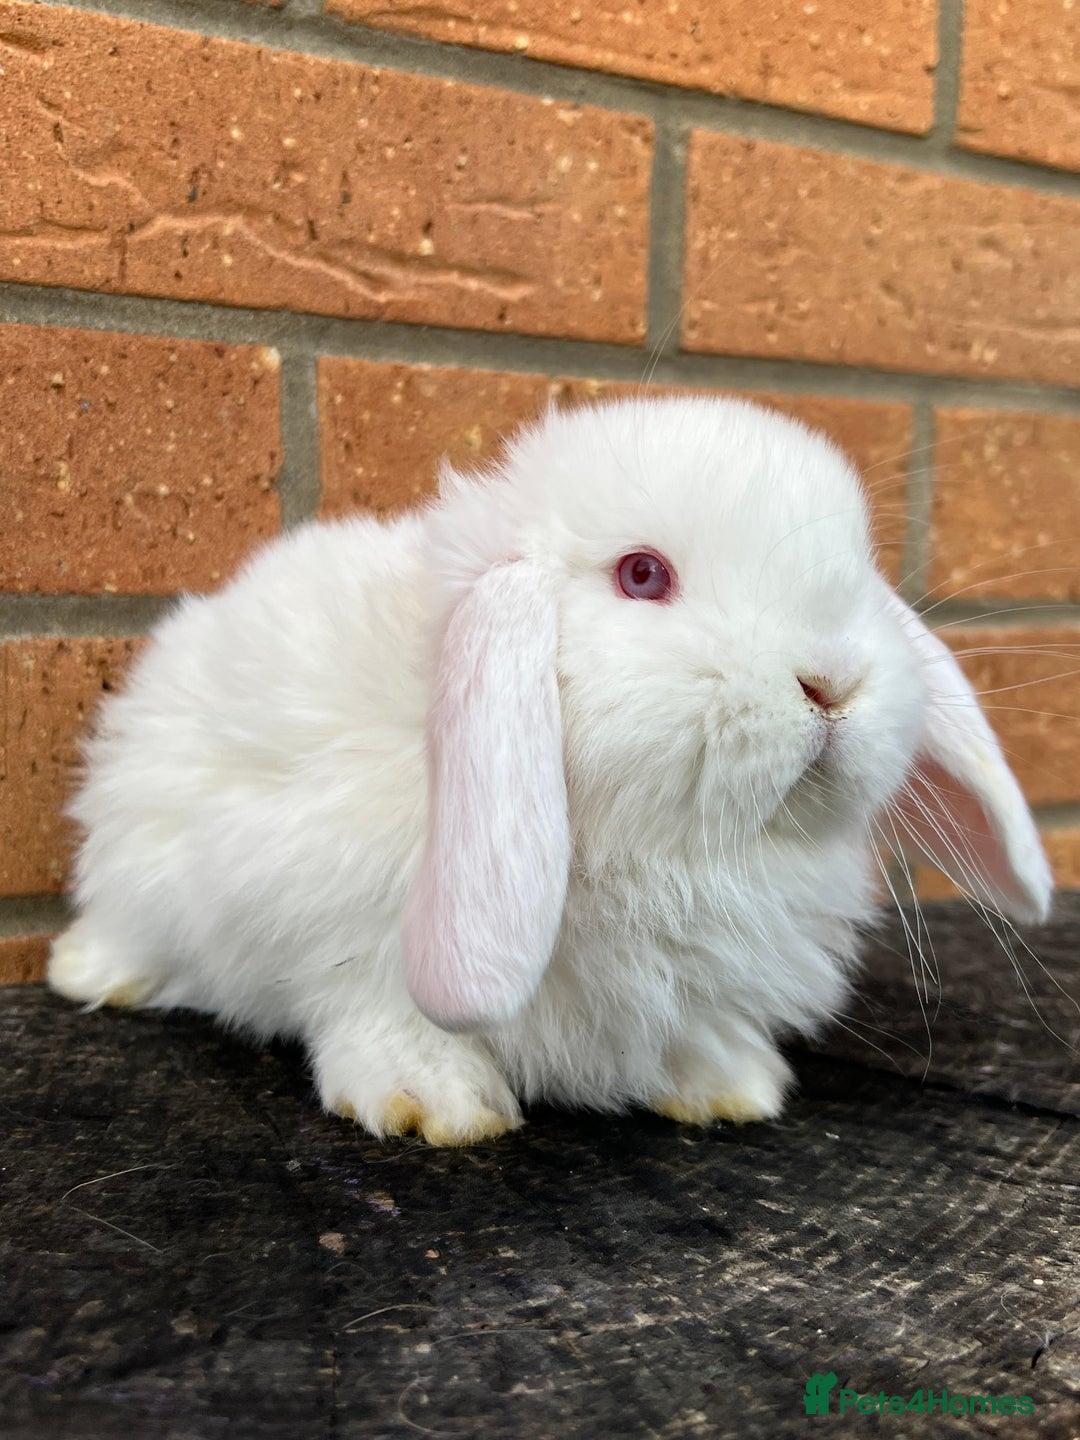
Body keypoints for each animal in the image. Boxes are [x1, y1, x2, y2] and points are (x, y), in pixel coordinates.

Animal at [48, 395, 1052, 1145]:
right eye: (642, 575)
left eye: (857, 571)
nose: (833, 682)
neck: (668, 848)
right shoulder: (330, 919)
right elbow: (377, 1009)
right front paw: (438, 1102)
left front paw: (727, 1083)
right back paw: (91, 975)